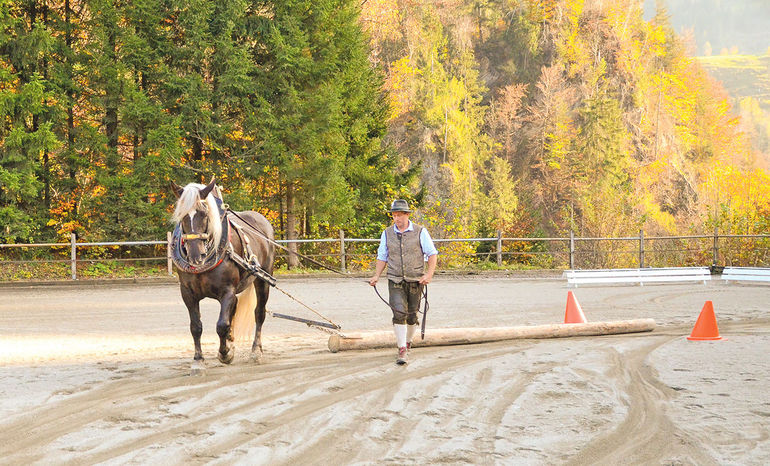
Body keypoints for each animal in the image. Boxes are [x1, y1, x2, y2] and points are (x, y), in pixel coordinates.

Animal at [171, 177, 276, 370]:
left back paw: (256, 351)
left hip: (263, 280)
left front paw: (225, 353)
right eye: (182, 216)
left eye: (204, 214)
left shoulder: (227, 291)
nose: (196, 256)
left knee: (259, 313)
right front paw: (198, 359)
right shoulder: (187, 293)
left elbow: (222, 324)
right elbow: (196, 326)